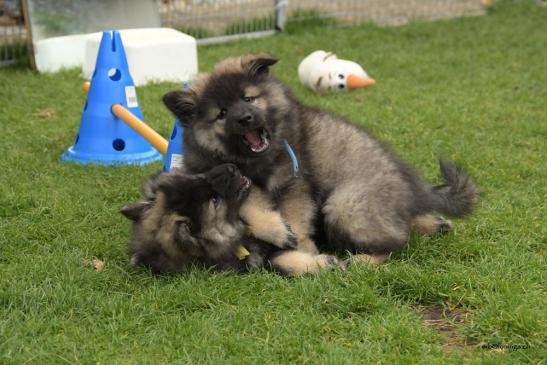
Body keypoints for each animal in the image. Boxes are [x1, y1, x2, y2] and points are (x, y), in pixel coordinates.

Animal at [121, 164, 338, 274]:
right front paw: (327, 263)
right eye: (215, 201)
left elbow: (250, 209)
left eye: (194, 178)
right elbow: (280, 264)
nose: (232, 168)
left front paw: (281, 231)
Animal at [163, 54, 480, 264]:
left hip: (346, 205)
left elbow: (295, 218)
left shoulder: (295, 185)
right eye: (222, 113)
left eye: (248, 98)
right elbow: (251, 200)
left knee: (398, 244)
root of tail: (413, 191)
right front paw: (279, 234)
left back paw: (363, 260)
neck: (254, 161)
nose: (245, 119)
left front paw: (301, 250)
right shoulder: (219, 175)